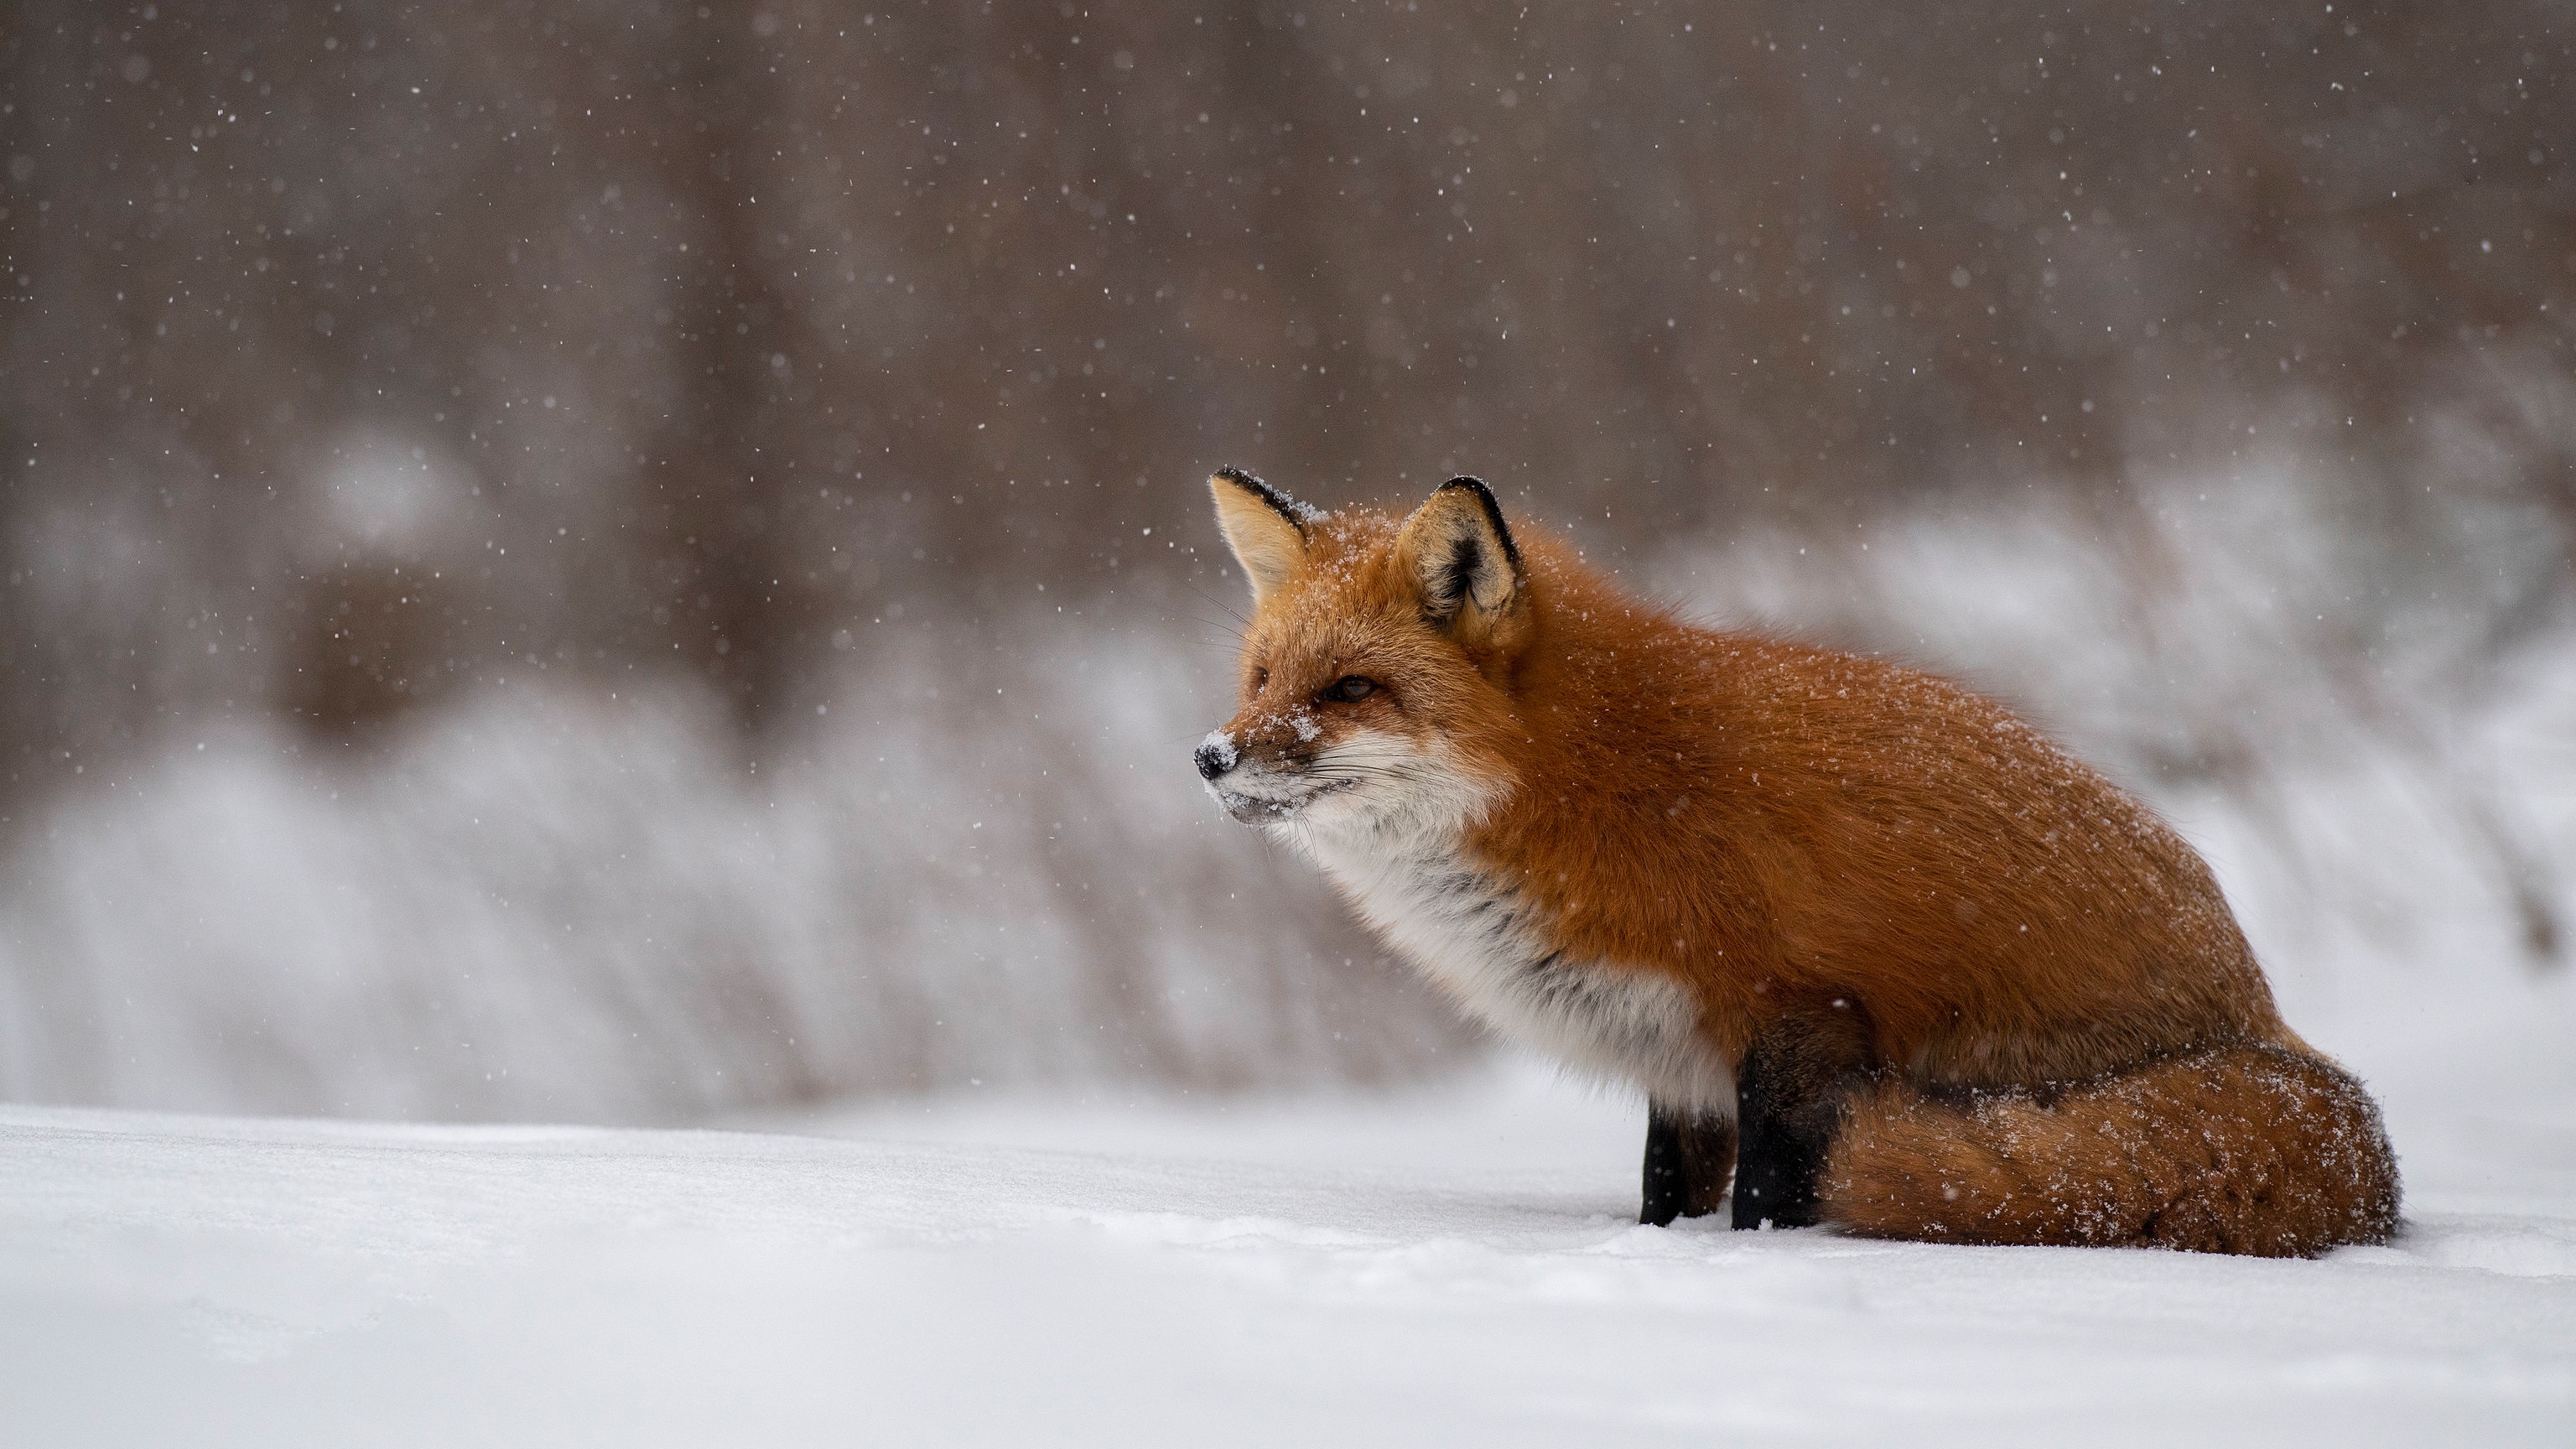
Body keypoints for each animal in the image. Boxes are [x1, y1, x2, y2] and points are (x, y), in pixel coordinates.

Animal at [1195, 464, 2401, 1253]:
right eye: (1260, 677)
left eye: (1351, 689)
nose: (1210, 757)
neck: (1598, 790)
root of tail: (2274, 1029)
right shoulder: (1674, 1054)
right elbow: (1667, 1195)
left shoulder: (1797, 1017)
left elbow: (1768, 1200)